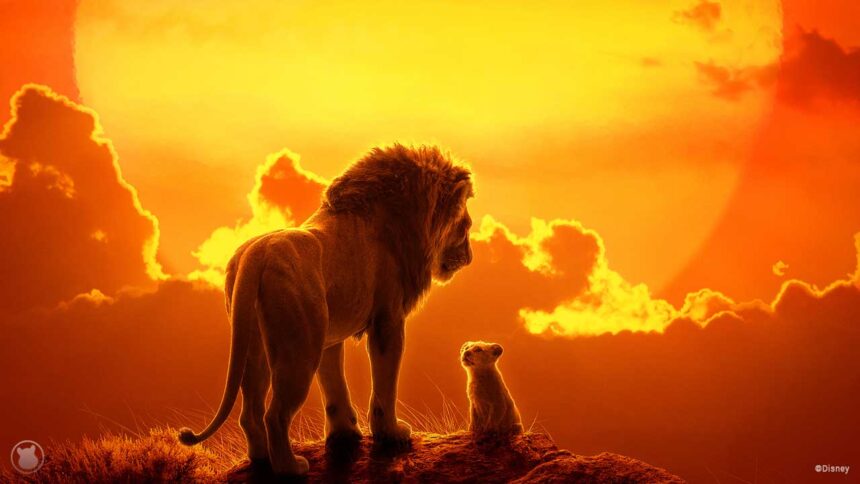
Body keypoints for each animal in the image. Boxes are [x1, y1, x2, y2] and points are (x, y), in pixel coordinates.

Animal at [178, 144, 474, 475]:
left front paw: (344, 433)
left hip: (255, 345)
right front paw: (391, 434)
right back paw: (291, 467)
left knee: (251, 411)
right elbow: (385, 383)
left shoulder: (329, 335)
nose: (470, 257)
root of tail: (256, 255)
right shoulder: (388, 320)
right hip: (299, 349)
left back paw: (261, 459)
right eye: (465, 226)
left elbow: (334, 385)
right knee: (275, 415)